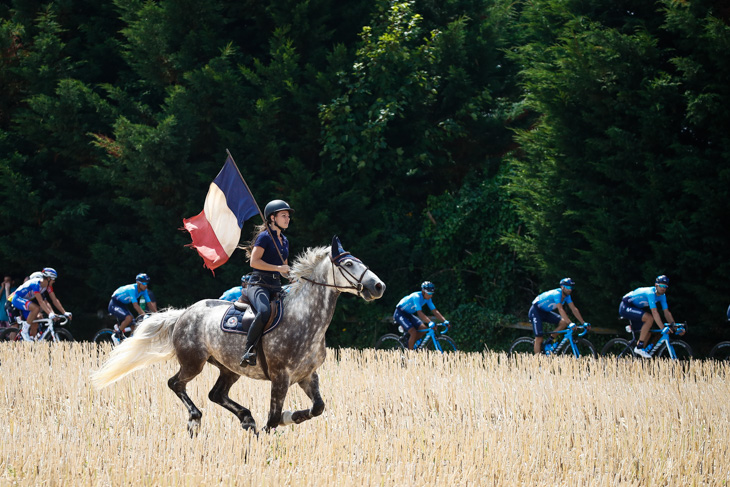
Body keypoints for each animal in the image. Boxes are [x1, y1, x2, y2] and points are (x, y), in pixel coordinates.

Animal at [90, 236, 384, 434]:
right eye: (349, 263)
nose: (378, 286)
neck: (306, 319)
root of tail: (184, 312)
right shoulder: (281, 377)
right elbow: (273, 418)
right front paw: (270, 433)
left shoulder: (307, 375)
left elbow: (317, 408)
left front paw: (289, 417)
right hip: (193, 362)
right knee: (176, 384)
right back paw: (195, 419)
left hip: (229, 368)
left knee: (215, 394)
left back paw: (246, 418)